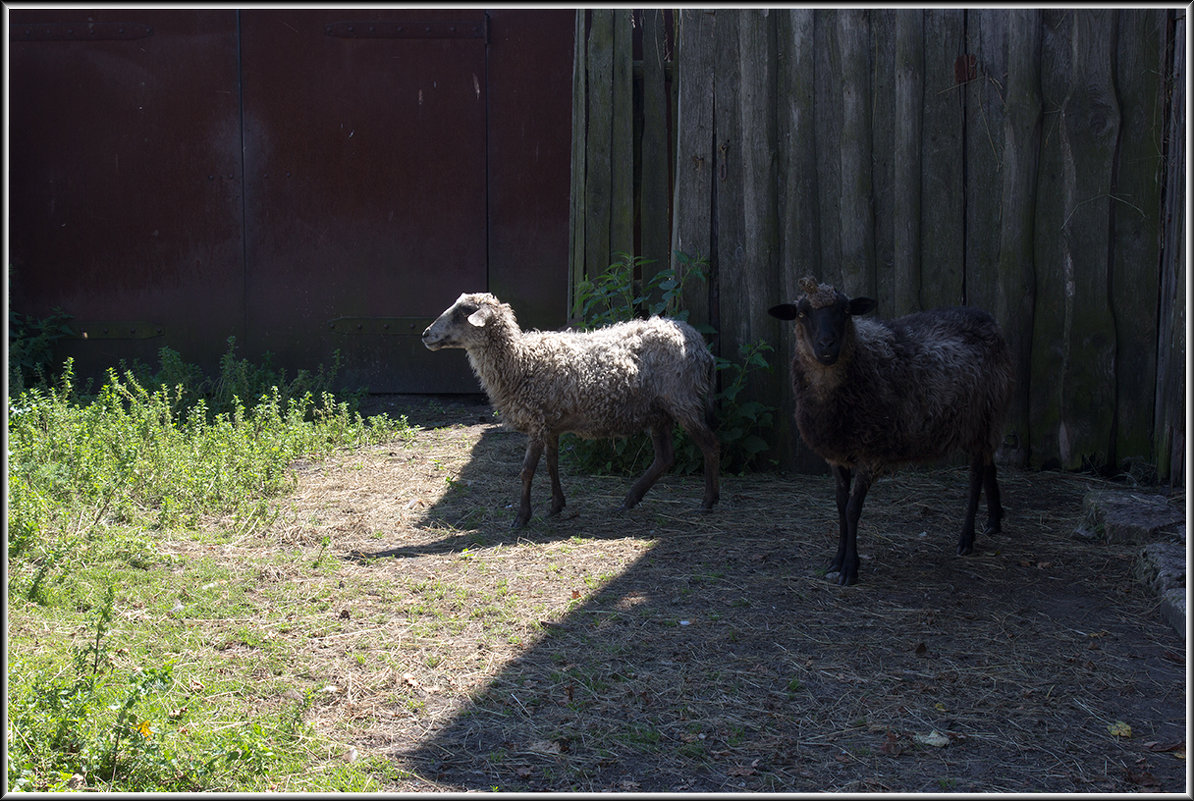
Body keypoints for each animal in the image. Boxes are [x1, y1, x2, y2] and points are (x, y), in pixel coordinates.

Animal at [422, 292, 716, 525]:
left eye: (462, 313)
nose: (425, 334)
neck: (521, 362)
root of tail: (698, 343)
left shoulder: (537, 423)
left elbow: (527, 471)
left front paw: (521, 517)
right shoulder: (550, 424)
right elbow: (552, 465)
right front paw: (555, 506)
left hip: (683, 400)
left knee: (709, 445)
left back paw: (709, 501)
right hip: (659, 411)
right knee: (665, 458)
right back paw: (630, 499)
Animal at [768, 279, 1012, 584]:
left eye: (845, 311)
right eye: (801, 314)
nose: (826, 345)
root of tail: (987, 317)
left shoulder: (870, 453)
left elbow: (852, 509)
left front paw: (850, 569)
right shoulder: (837, 454)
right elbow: (839, 505)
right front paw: (836, 561)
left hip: (981, 415)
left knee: (977, 476)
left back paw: (966, 539)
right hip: (984, 421)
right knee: (990, 464)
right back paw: (994, 520)